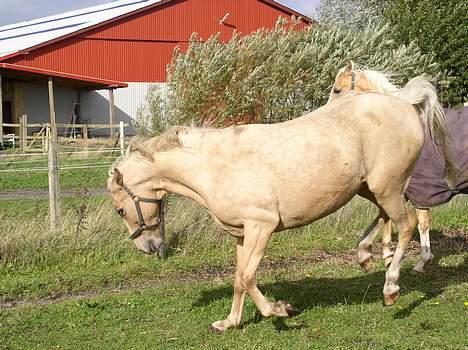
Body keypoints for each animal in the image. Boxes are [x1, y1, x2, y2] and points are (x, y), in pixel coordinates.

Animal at [328, 61, 462, 272]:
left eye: (337, 90)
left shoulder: (416, 192)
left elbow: (421, 223)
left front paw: (420, 261)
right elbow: (388, 219)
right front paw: (387, 255)